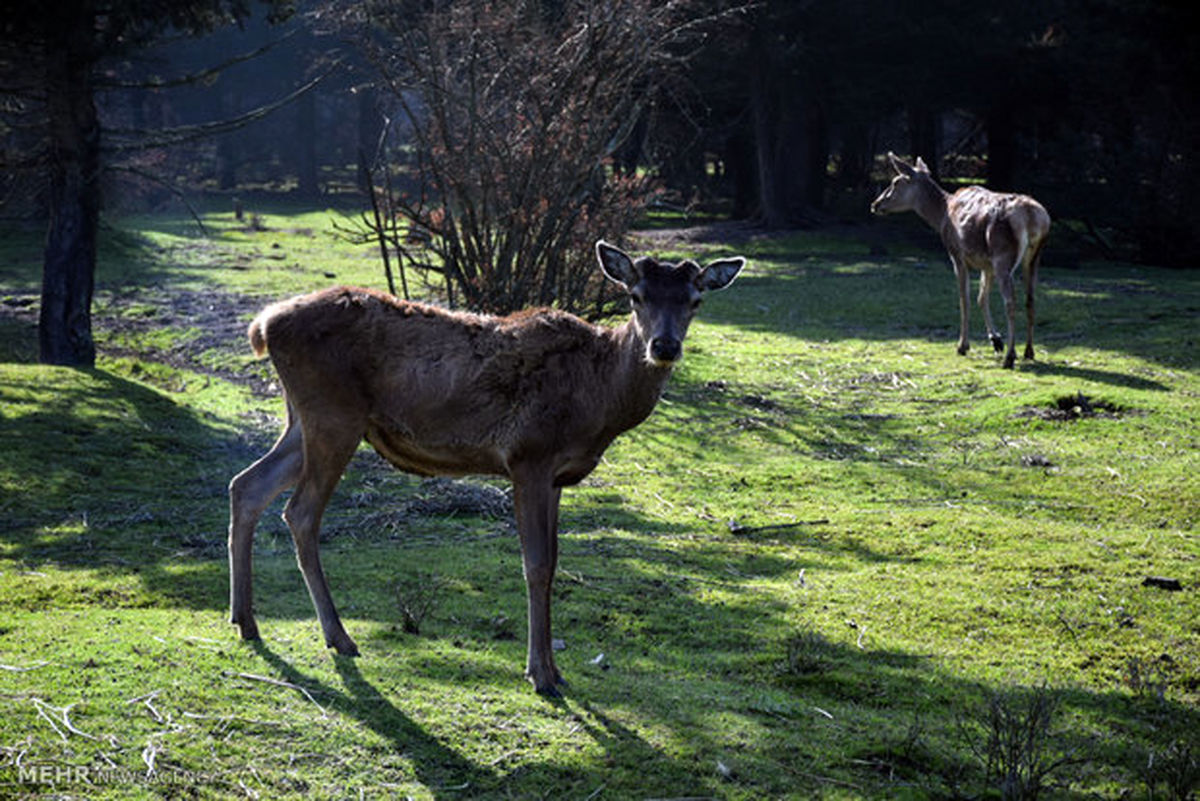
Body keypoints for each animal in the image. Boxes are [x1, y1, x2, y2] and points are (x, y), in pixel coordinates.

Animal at [229, 239, 744, 695]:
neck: (598, 402)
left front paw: (556, 670)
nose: (664, 346)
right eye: (635, 296)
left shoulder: (556, 476)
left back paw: (246, 620)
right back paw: (337, 636)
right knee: (299, 512)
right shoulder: (528, 456)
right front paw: (539, 675)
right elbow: (536, 564)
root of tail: (264, 325)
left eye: (695, 300)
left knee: (247, 484)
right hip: (333, 416)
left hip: (307, 421)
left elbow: (554, 561)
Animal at [873, 151, 1051, 366]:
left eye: (896, 182)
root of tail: (1033, 217)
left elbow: (964, 299)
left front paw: (963, 346)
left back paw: (1009, 357)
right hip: (1034, 257)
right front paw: (995, 340)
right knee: (1030, 299)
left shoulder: (957, 255)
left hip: (1003, 256)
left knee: (1010, 301)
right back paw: (1028, 351)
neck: (941, 215)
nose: (875, 204)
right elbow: (981, 297)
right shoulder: (986, 264)